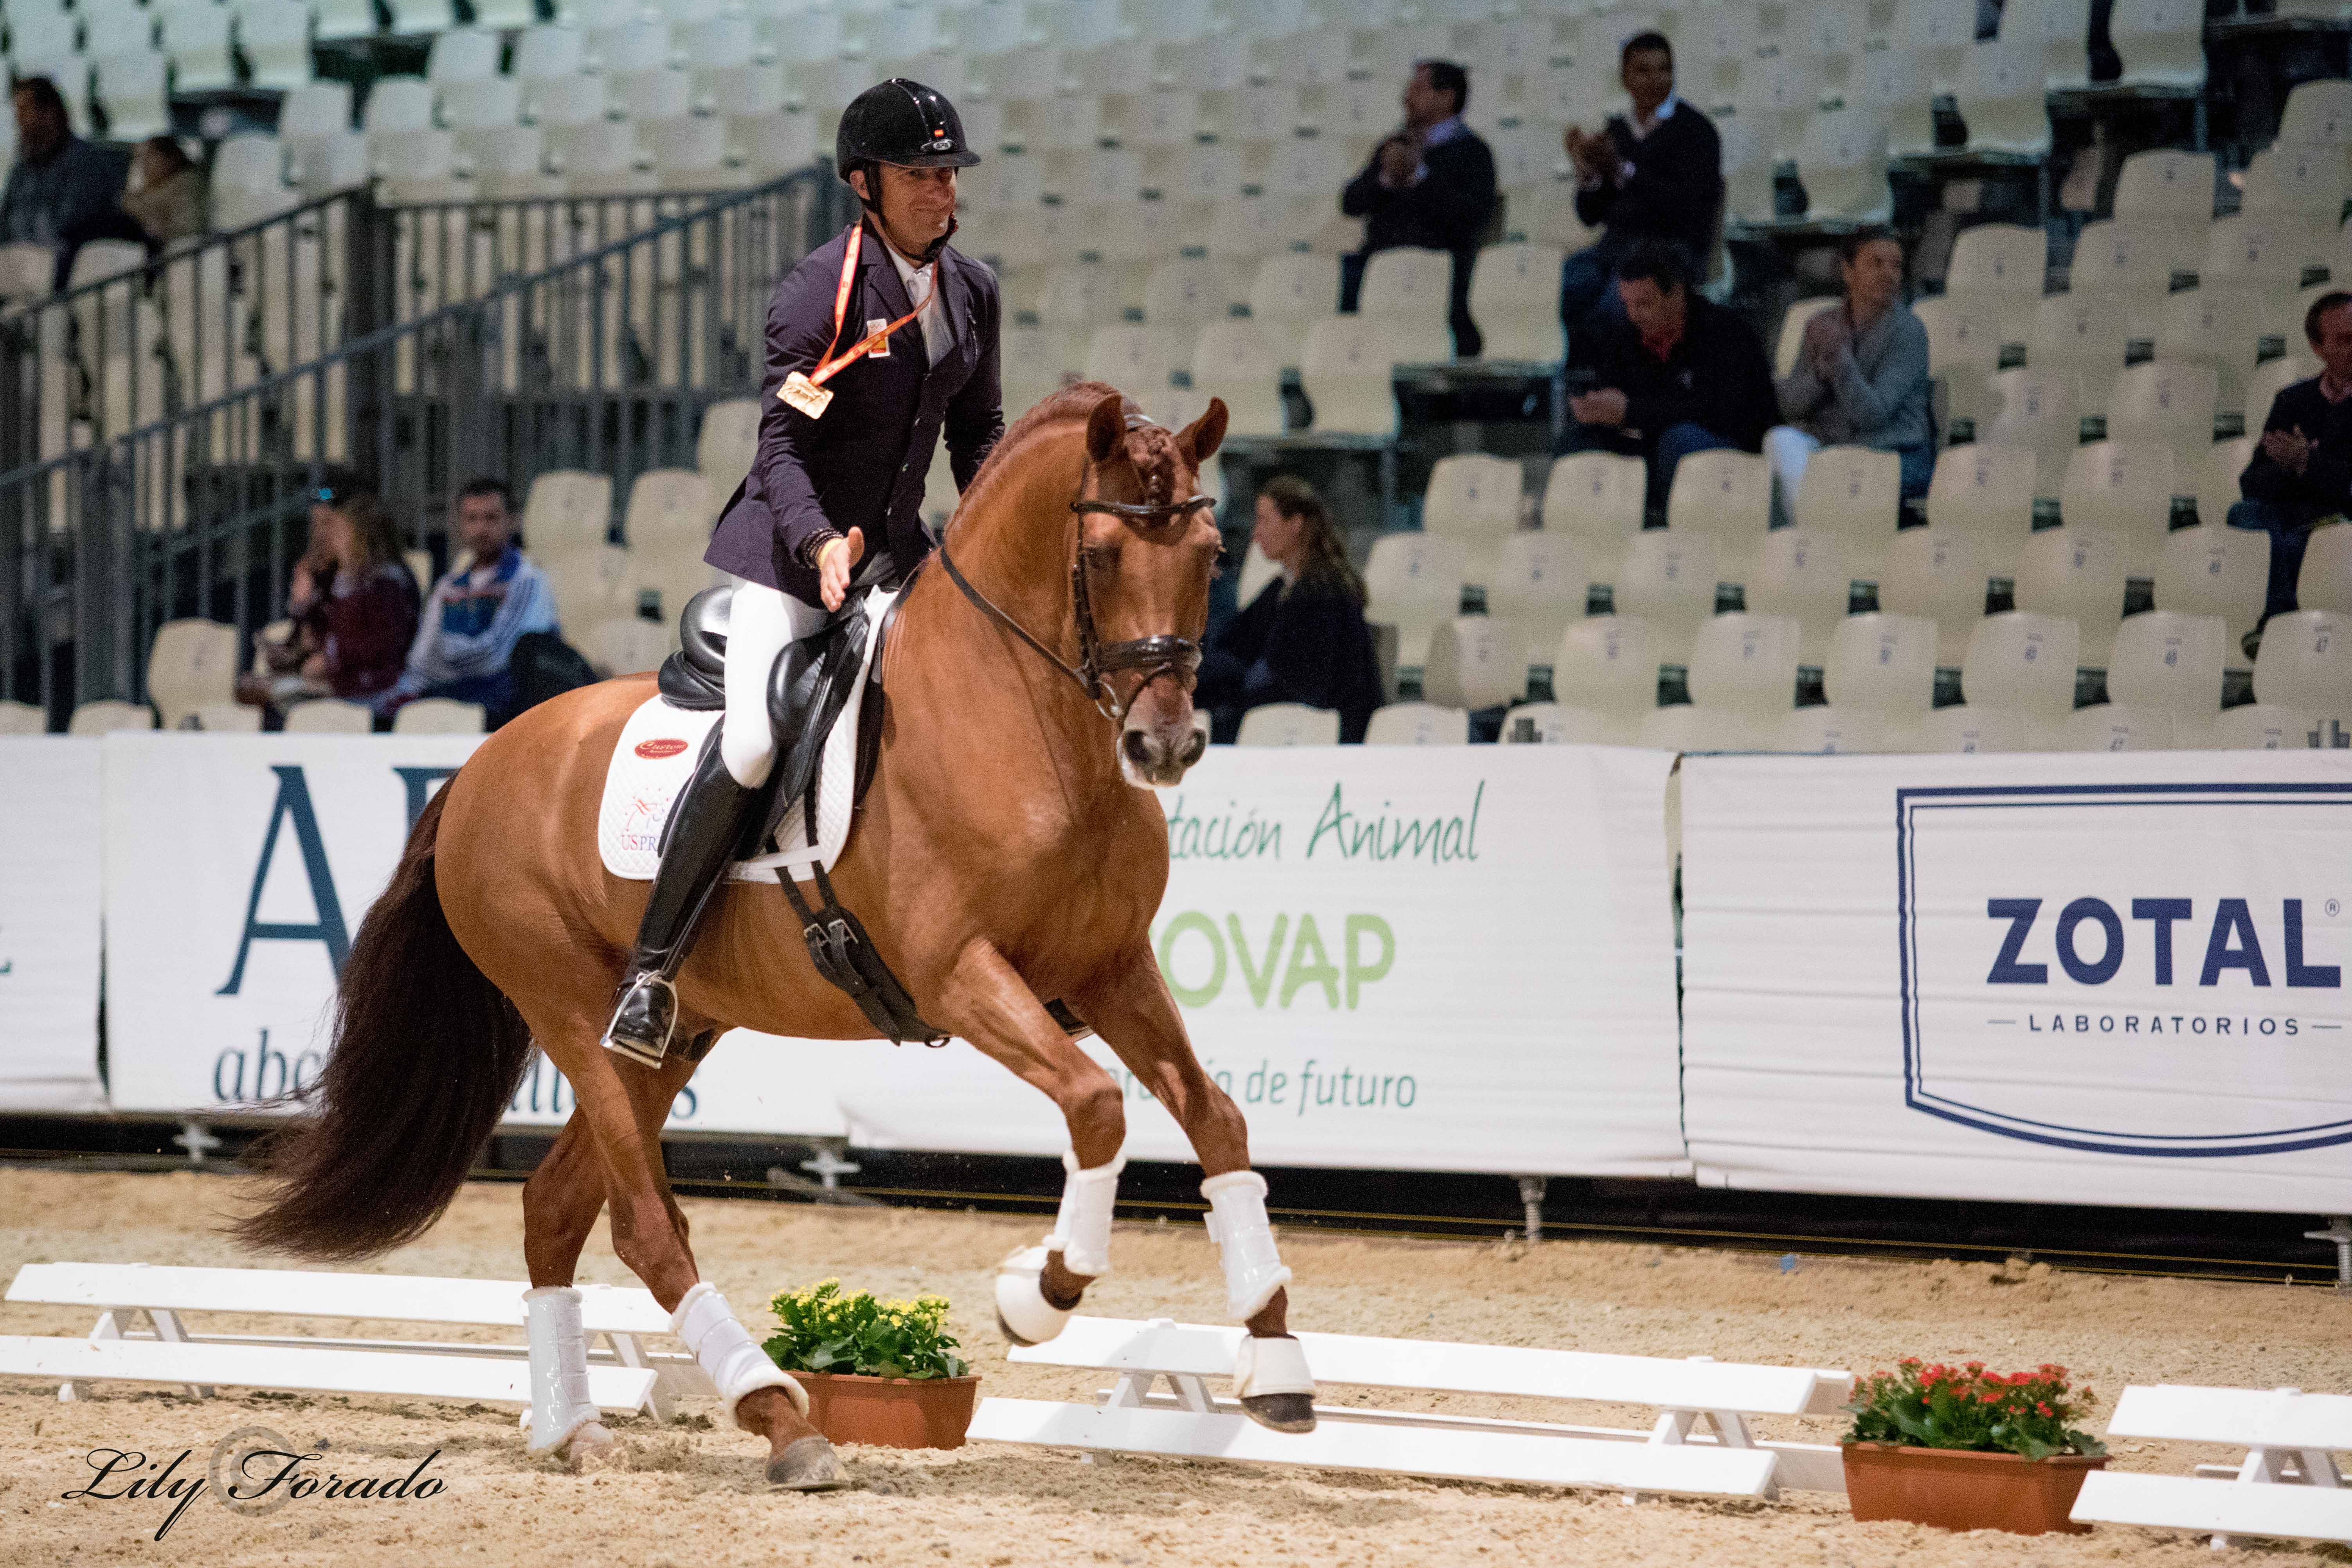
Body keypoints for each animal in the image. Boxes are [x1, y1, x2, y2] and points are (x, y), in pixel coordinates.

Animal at [236, 385, 1317, 1495]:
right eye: (1099, 554)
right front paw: (1039, 1293)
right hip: (570, 1009)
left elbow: (1218, 1120)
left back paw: (573, 1426)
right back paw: (780, 1417)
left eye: (1213, 553)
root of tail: (484, 758)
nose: (1165, 744)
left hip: (673, 1034)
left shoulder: (1111, 968)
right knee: (644, 1224)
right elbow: (1099, 1106)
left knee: (555, 1206)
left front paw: (1276, 1362)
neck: (1024, 721)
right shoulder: (960, 974)